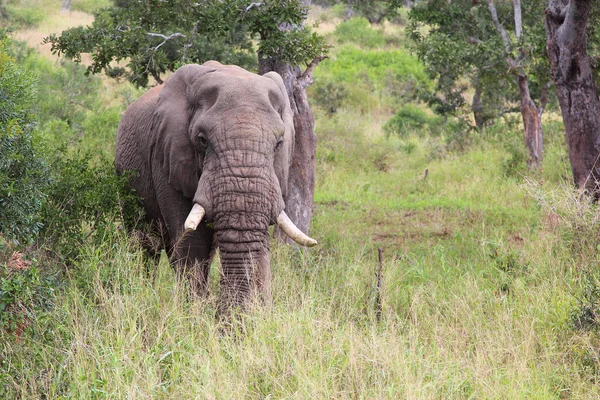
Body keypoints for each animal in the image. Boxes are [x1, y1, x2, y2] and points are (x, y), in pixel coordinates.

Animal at [114, 61, 316, 312]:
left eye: (279, 143)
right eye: (202, 140)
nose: (224, 315)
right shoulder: (167, 157)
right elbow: (193, 241)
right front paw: (193, 315)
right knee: (145, 246)